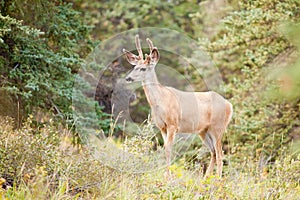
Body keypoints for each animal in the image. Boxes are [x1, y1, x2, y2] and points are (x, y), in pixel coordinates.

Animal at [123, 34, 233, 178]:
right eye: (134, 67)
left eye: (143, 68)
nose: (128, 78)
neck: (161, 101)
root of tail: (229, 105)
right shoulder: (162, 126)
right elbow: (165, 148)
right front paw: (165, 174)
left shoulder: (173, 124)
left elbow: (169, 149)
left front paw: (167, 176)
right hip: (204, 130)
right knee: (214, 152)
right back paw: (206, 178)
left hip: (218, 127)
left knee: (220, 154)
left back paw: (217, 180)